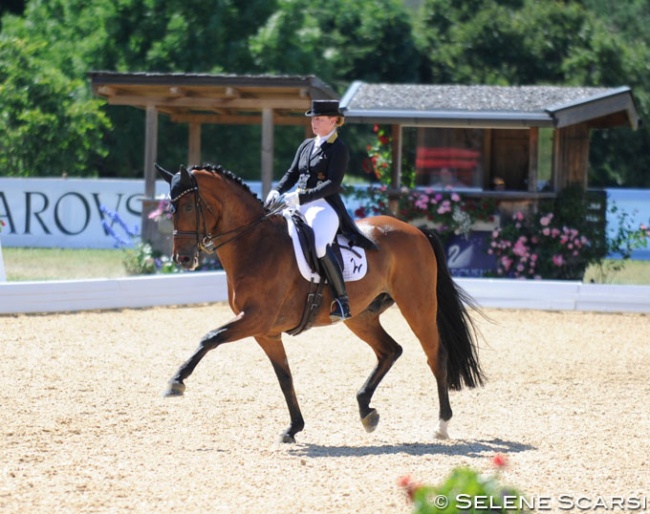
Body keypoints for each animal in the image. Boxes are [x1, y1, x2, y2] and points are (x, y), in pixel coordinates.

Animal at [156, 163, 480, 440]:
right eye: (170, 209)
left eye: (188, 206)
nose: (182, 259)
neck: (255, 244)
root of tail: (416, 231)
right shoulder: (265, 331)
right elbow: (285, 378)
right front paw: (293, 428)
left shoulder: (256, 318)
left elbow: (209, 337)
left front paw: (176, 381)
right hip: (361, 316)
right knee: (390, 350)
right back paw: (366, 410)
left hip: (417, 306)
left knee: (435, 354)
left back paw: (441, 425)